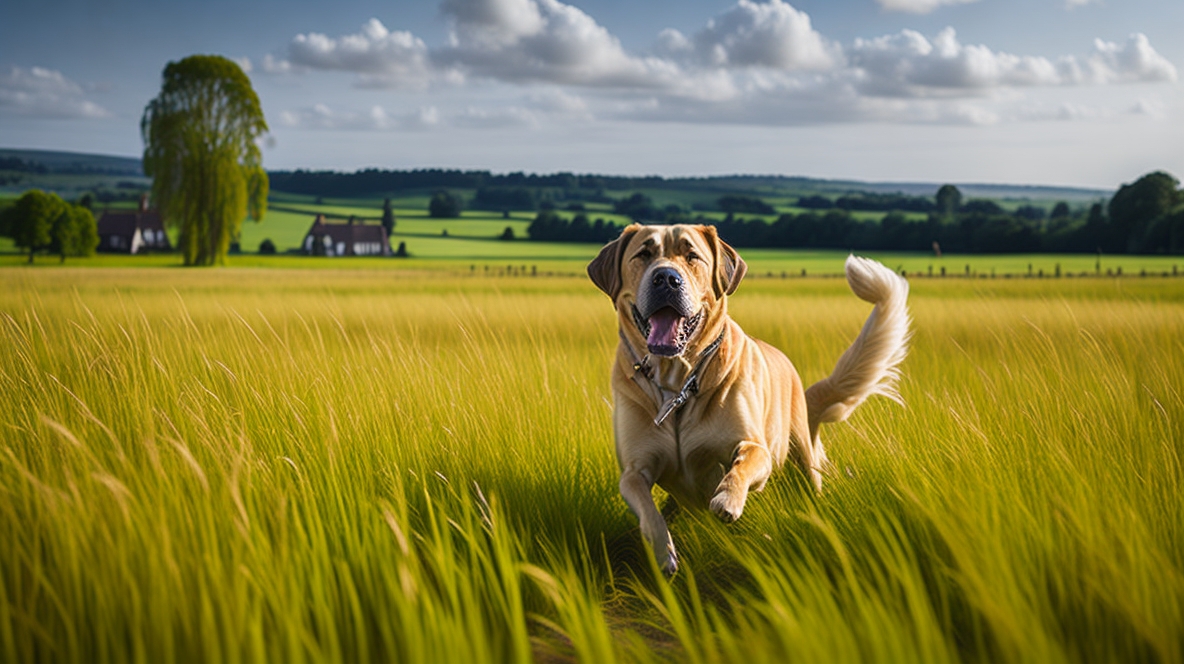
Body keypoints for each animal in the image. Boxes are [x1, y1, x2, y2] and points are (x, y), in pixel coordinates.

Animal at [587, 223, 909, 575]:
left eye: (691, 256)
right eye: (643, 254)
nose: (667, 278)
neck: (677, 384)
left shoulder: (756, 449)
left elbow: (741, 466)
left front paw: (727, 500)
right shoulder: (634, 469)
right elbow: (647, 508)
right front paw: (662, 553)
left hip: (803, 462)